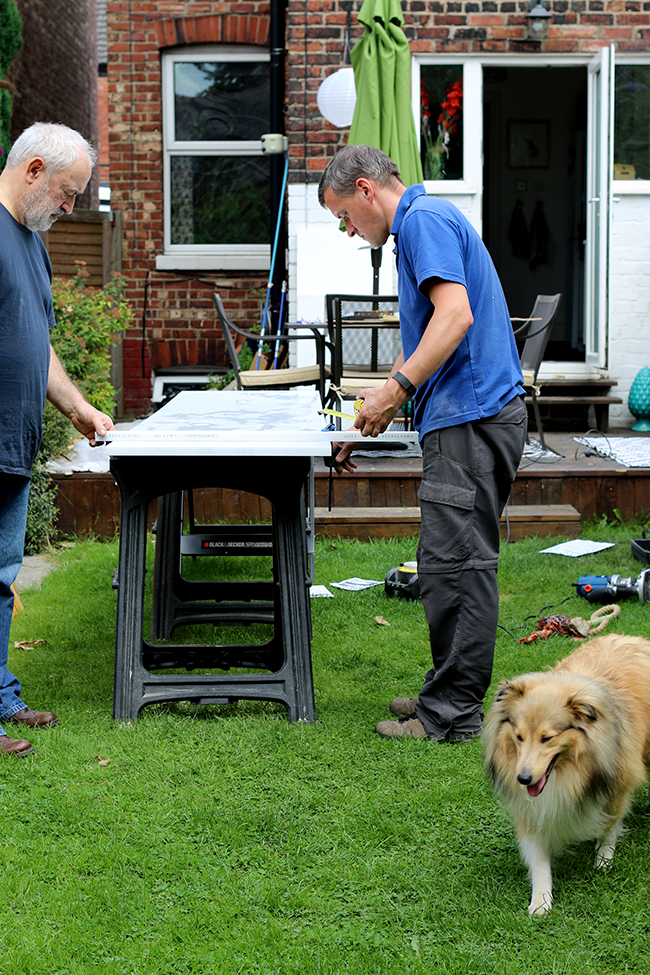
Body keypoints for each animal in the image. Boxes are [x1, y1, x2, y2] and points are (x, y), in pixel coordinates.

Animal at [483, 633, 650, 915]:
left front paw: (603, 857)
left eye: (547, 738)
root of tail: (632, 638)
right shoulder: (531, 807)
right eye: (519, 736)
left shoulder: (617, 784)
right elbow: (538, 856)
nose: (523, 779)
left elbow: (609, 824)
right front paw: (541, 899)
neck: (571, 770)